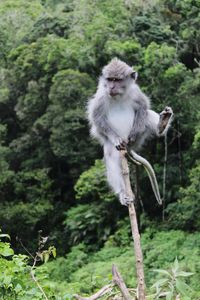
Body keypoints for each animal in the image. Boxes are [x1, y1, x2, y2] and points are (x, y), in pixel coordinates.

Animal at [87, 57, 173, 205]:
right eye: (110, 79)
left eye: (117, 80)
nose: (111, 87)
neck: (118, 96)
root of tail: (129, 148)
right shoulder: (101, 96)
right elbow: (97, 117)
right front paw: (115, 137)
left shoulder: (135, 92)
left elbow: (143, 107)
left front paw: (134, 133)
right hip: (116, 147)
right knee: (111, 156)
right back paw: (123, 193)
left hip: (140, 137)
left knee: (147, 116)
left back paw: (161, 125)